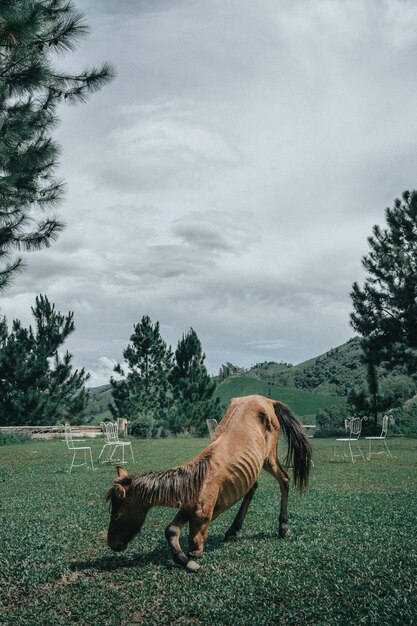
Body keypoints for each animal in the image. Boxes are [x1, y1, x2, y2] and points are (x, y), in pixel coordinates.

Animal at [105, 394, 310, 572]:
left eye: (115, 515)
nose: (111, 544)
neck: (197, 479)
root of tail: (267, 400)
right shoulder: (188, 506)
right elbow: (171, 530)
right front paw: (183, 560)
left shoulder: (201, 516)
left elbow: (194, 544)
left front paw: (189, 559)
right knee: (252, 488)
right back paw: (233, 530)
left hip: (269, 458)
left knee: (284, 480)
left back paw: (283, 528)